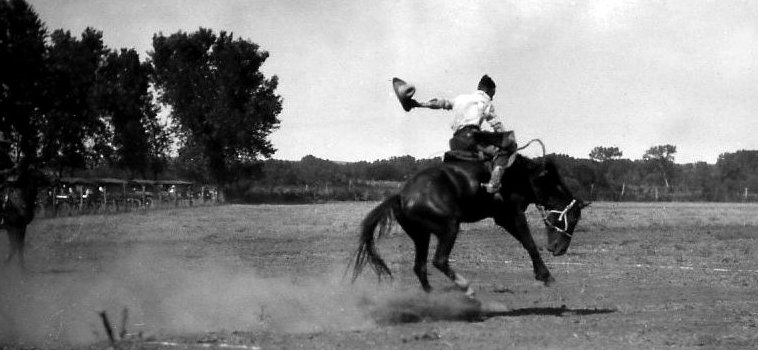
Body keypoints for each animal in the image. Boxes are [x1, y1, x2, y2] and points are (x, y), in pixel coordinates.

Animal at [354, 145, 592, 296]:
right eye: (573, 218)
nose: (559, 249)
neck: (525, 177)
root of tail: (401, 195)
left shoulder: (503, 218)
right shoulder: (511, 215)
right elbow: (529, 243)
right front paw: (545, 275)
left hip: (421, 236)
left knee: (420, 266)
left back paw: (432, 296)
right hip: (449, 228)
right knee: (439, 260)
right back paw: (465, 287)